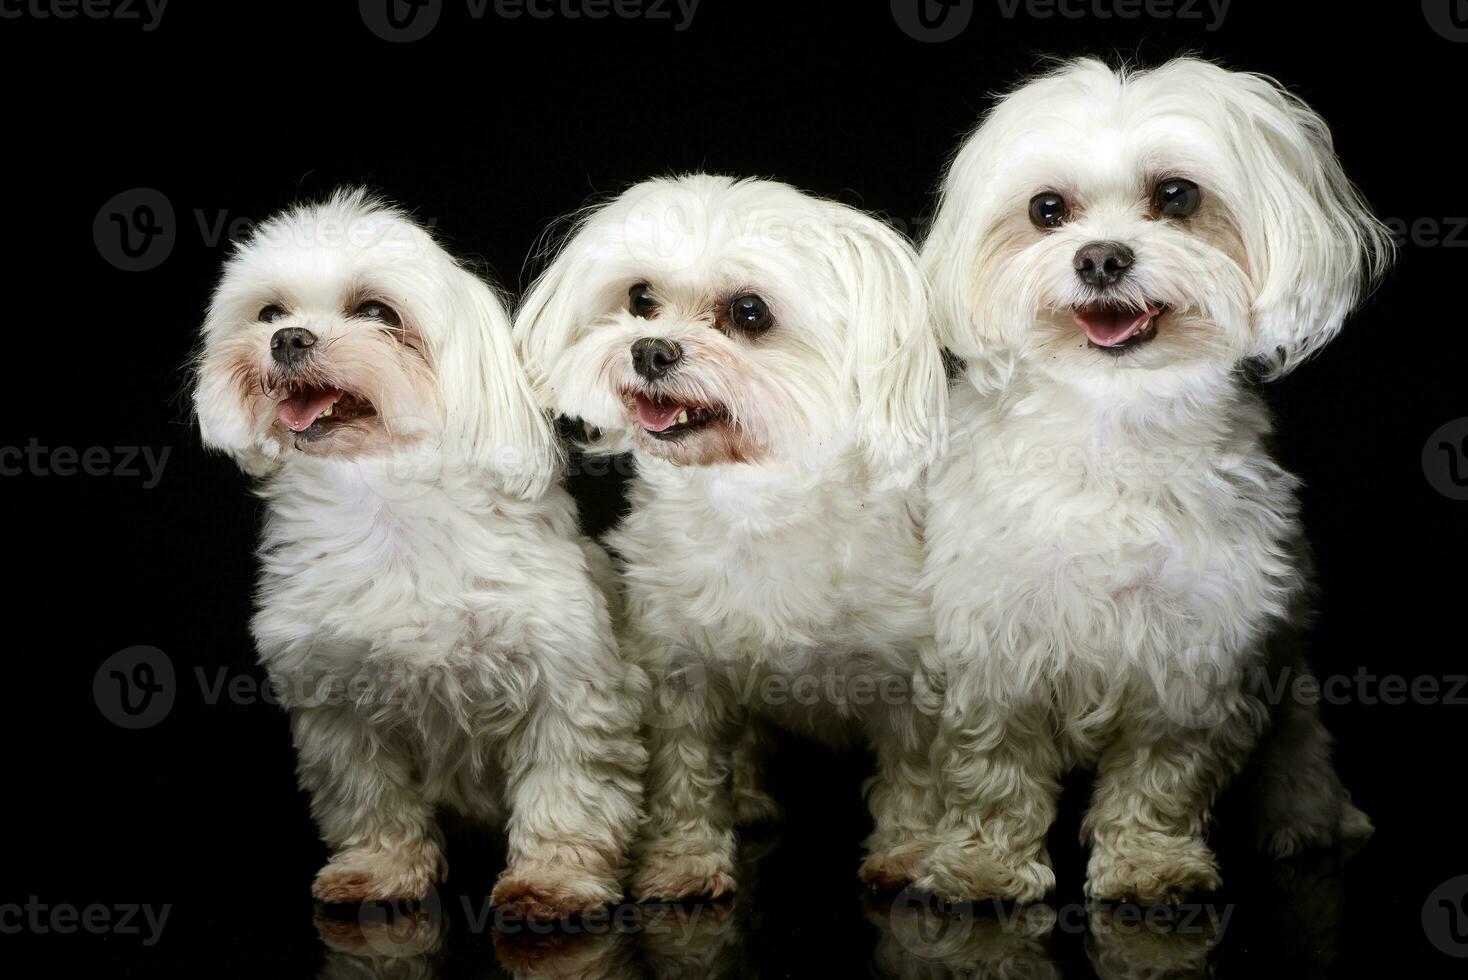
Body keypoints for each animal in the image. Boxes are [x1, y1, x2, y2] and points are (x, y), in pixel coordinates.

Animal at [193, 189, 648, 921]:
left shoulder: (568, 690)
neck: (386, 500)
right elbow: (367, 797)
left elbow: (565, 791)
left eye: (378, 313)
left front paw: (554, 881)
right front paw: (378, 871)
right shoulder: (337, 708)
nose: (288, 338)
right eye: (269, 313)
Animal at [516, 173, 951, 897]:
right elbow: (685, 772)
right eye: (640, 299)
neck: (754, 500)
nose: (649, 348)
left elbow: (916, 771)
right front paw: (684, 862)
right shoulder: (675, 667)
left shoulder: (911, 672)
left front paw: (910, 854)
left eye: (750, 312)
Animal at [916, 59, 1385, 903]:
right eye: (1046, 209)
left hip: (1291, 693)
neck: (1115, 427)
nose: (1101, 258)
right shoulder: (992, 641)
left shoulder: (1197, 650)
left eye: (1176, 196)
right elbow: (992, 765)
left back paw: (1310, 821)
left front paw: (1150, 864)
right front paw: (982, 865)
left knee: (1300, 756)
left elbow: (1164, 772)